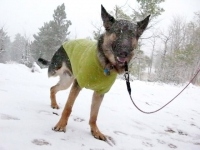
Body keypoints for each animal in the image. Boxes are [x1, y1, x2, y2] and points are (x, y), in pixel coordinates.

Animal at [38, 4, 150, 141]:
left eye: (132, 35)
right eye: (118, 32)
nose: (124, 52)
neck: (106, 64)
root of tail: (64, 43)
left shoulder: (99, 93)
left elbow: (94, 115)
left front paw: (95, 131)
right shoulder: (77, 85)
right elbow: (68, 108)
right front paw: (61, 125)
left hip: (66, 82)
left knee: (52, 88)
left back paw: (53, 104)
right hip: (56, 70)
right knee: (51, 76)